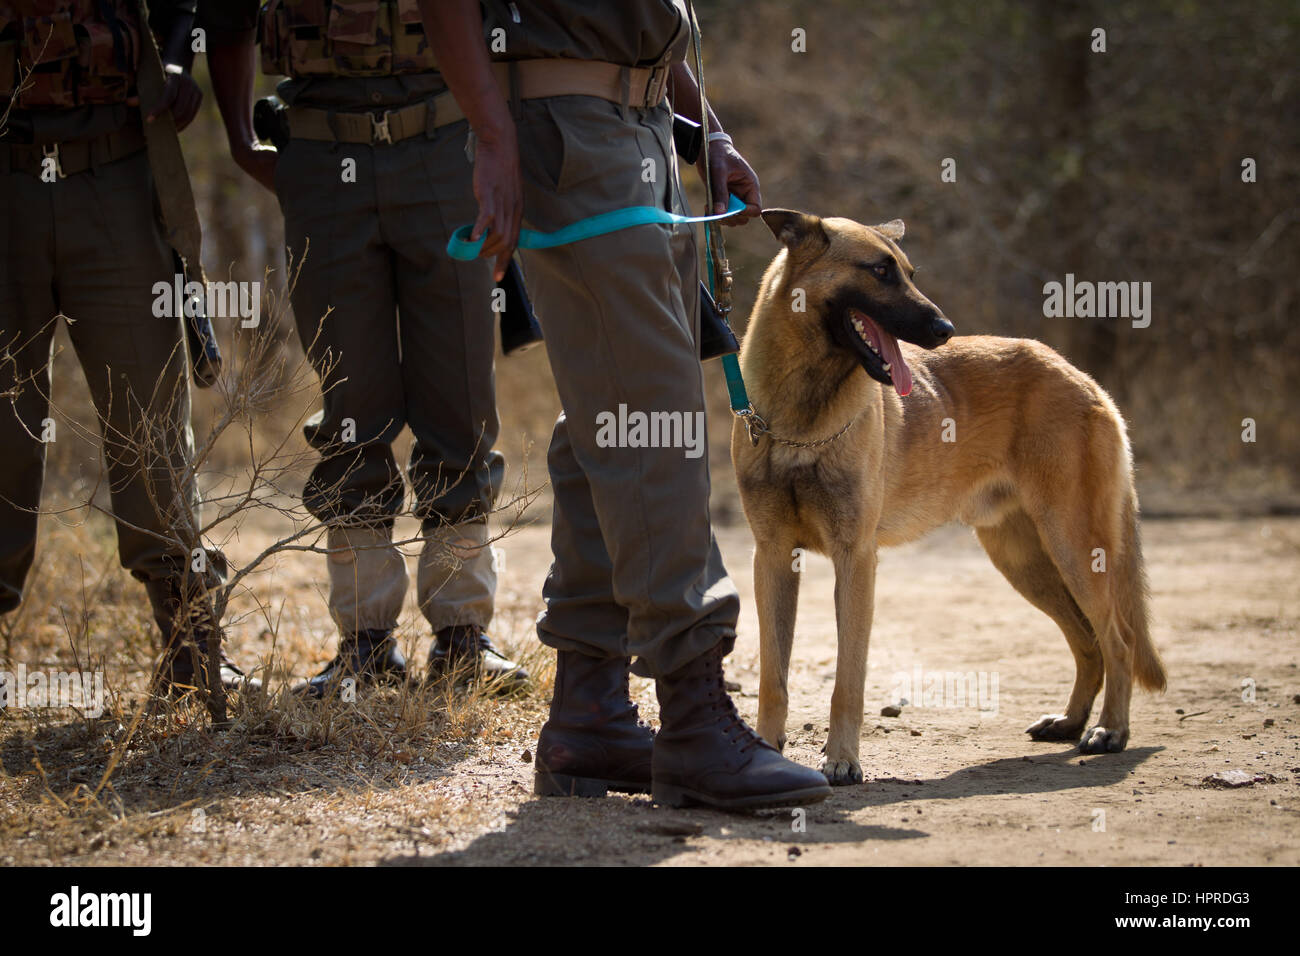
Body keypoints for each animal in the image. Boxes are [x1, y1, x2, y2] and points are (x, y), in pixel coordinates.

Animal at [733, 210, 1170, 785]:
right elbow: (773, 676)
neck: (799, 418)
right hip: (1026, 562)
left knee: (1116, 639)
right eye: (880, 271)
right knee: (1088, 641)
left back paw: (1110, 731)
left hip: (1074, 550)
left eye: (909, 272)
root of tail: (1081, 377)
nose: (945, 331)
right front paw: (766, 749)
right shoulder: (774, 558)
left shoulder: (855, 560)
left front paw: (843, 759)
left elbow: (848, 680)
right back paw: (1071, 722)